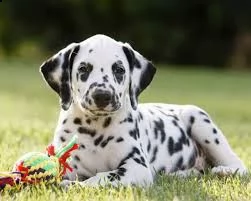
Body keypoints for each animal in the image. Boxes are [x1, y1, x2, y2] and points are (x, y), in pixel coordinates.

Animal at [39, 34, 247, 187]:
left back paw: (224, 171)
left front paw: (77, 186)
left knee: (239, 165)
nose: (102, 96)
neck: (95, 128)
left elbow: (102, 177)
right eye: (83, 68)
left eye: (119, 70)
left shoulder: (135, 167)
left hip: (202, 124)